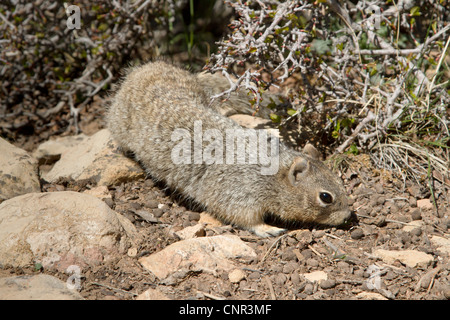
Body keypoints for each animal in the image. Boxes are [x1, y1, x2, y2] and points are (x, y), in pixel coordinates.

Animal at [108, 61, 352, 236]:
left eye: (340, 180)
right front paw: (268, 229)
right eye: (325, 197)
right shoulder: (239, 194)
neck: (272, 175)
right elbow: (245, 218)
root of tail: (146, 68)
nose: (347, 216)